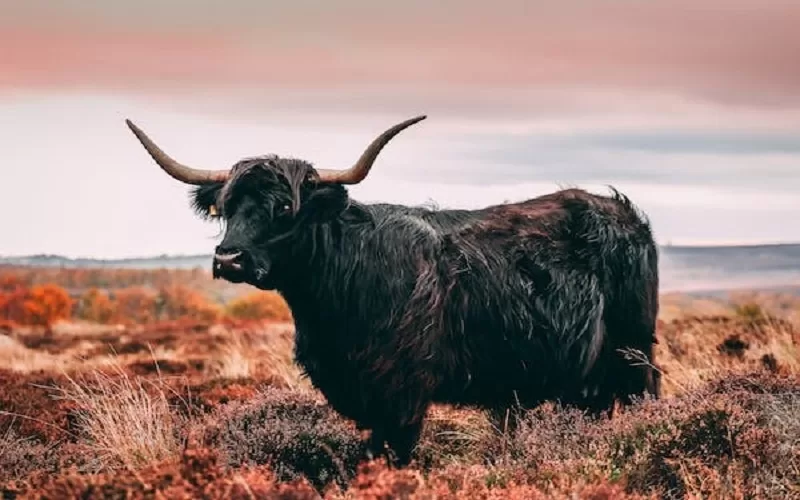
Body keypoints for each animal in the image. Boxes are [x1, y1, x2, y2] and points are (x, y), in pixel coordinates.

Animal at [126, 115, 664, 466]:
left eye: (285, 208)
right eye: (226, 206)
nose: (229, 259)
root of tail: (624, 213)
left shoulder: (403, 391)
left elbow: (396, 455)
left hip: (634, 354)